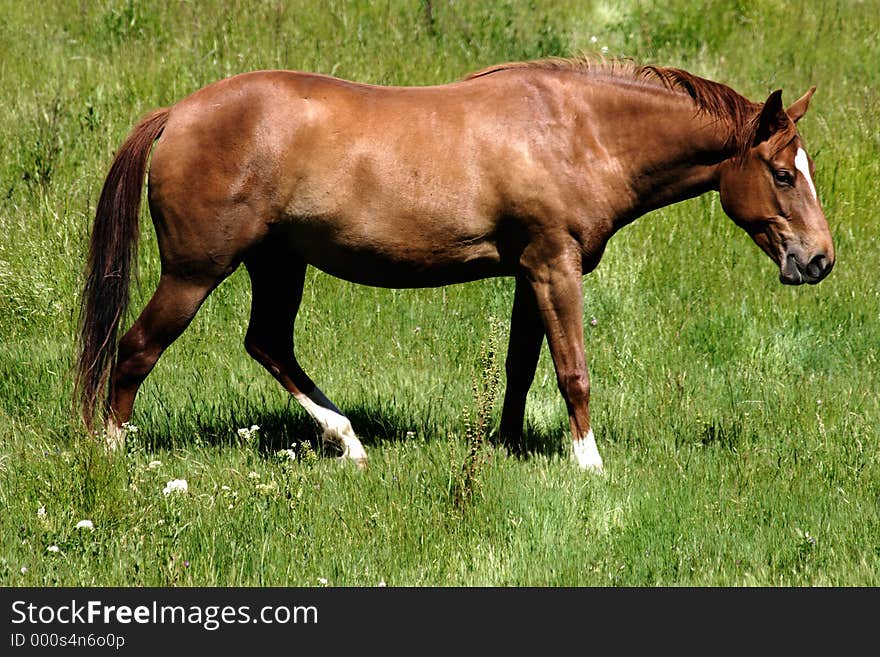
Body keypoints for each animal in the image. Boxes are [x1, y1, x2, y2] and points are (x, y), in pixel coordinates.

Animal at [74, 55, 832, 466]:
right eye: (783, 174)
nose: (820, 260)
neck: (575, 132)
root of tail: (177, 114)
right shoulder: (553, 265)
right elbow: (573, 370)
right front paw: (588, 462)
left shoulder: (530, 271)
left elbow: (522, 368)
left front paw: (508, 445)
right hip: (195, 273)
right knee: (137, 350)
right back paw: (111, 457)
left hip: (277, 266)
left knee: (268, 344)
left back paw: (349, 441)